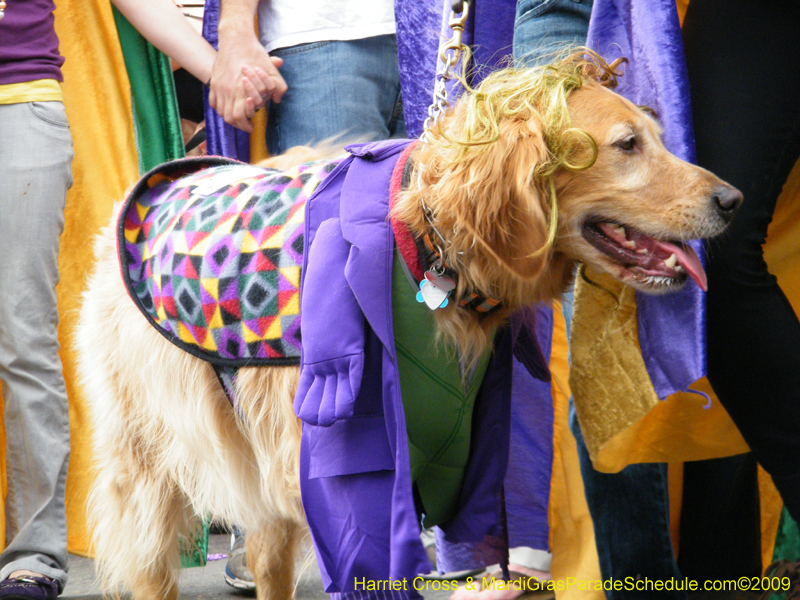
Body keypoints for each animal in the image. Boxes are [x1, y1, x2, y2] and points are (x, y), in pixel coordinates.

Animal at [76, 51, 744, 600]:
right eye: (628, 144)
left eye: (656, 137)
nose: (733, 201)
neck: (429, 240)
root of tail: (171, 175)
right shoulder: (348, 475)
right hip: (148, 466)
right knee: (154, 567)